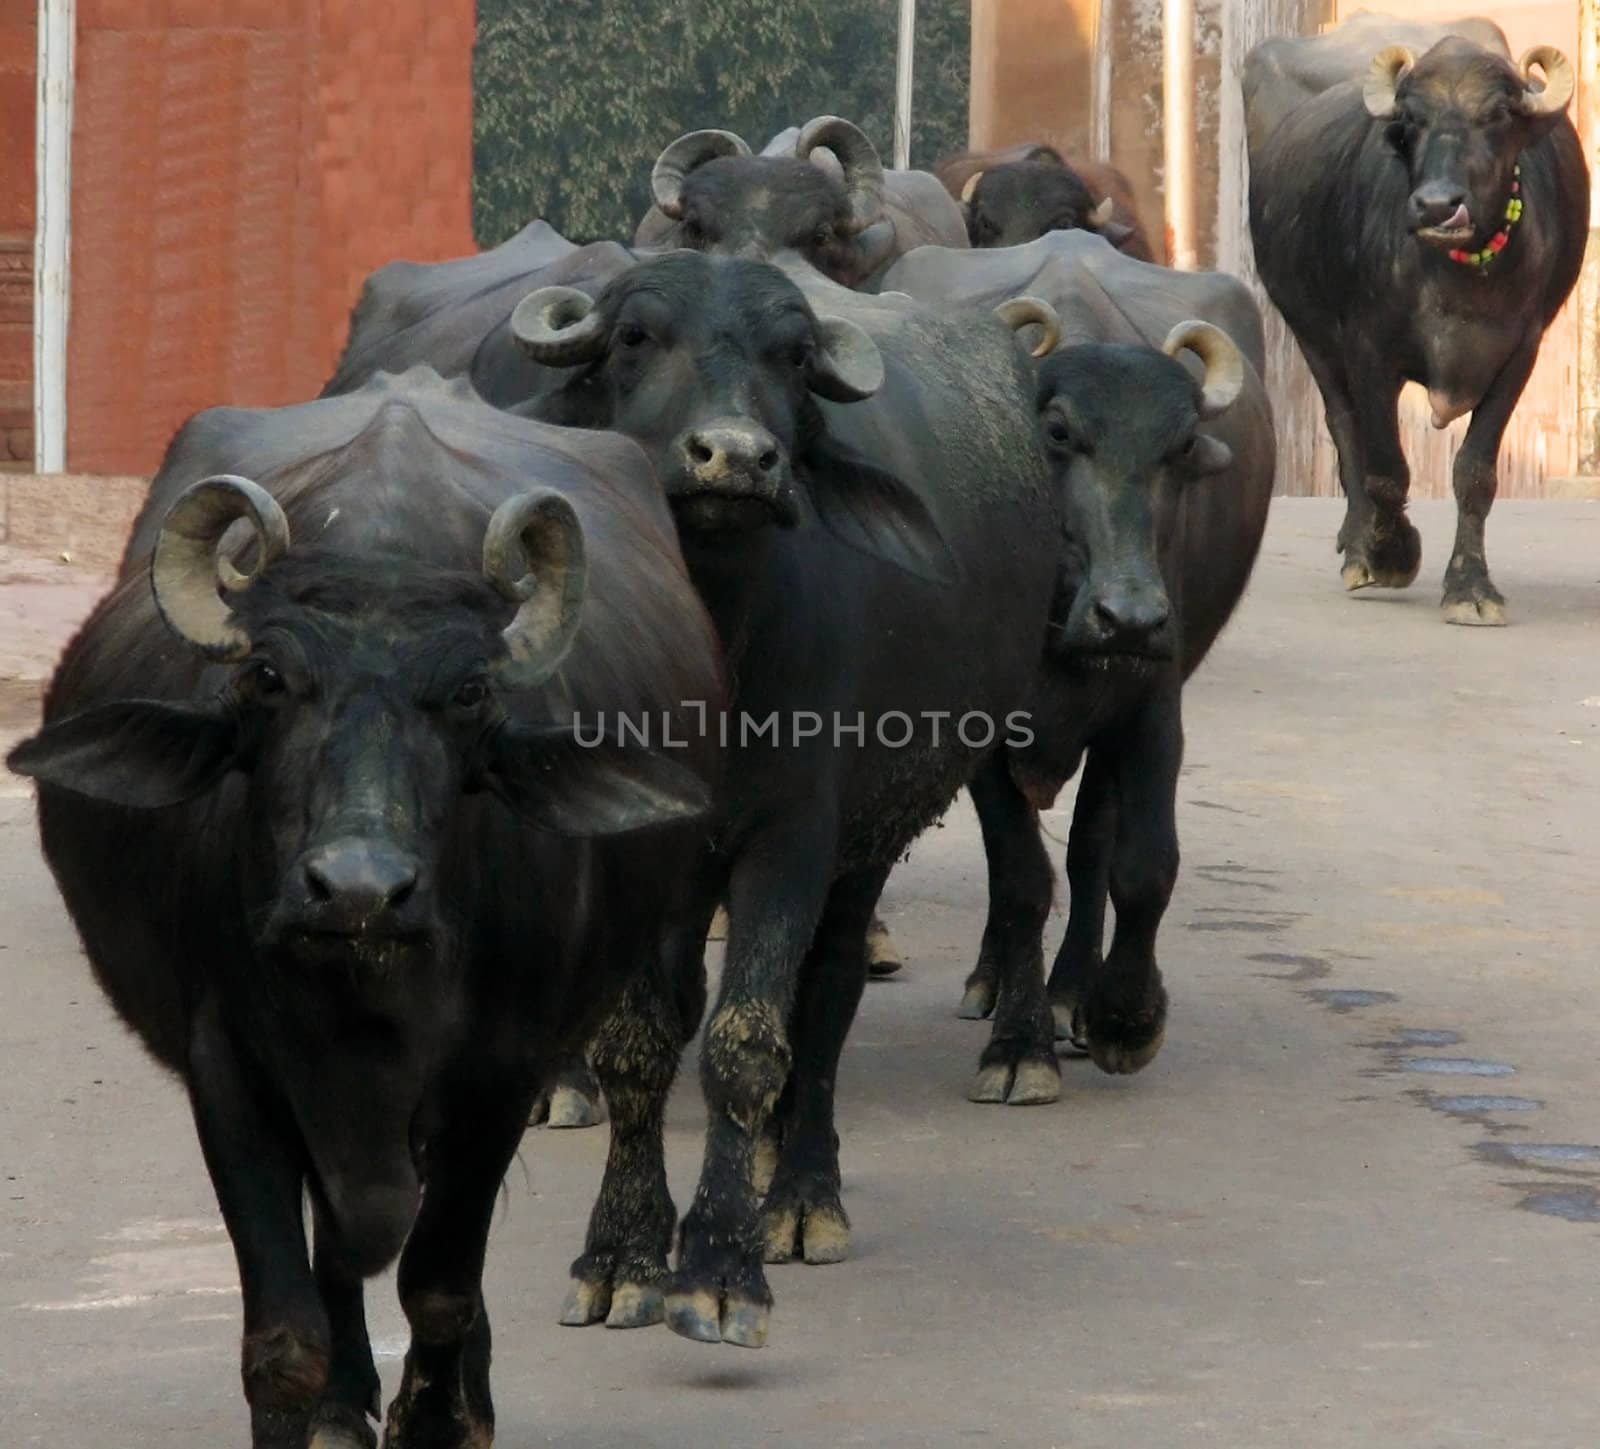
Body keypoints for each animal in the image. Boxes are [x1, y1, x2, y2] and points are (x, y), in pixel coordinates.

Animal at [9, 372, 723, 1445]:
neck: (366, 1001)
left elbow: (439, 1285)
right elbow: (286, 1332)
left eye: (467, 693)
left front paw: (441, 1413)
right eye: (267, 679)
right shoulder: (233, 1075)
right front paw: (330, 1397)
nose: (356, 888)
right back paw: (350, 1400)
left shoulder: (500, 1074)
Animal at [512, 251, 1062, 1343]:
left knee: (829, 990)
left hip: (869, 839)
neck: (719, 650)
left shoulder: (794, 838)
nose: (735, 459)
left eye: (794, 357)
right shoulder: (633, 845)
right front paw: (621, 1254)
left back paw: (803, 1195)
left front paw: (721, 1267)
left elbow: (748, 1039)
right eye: (634, 336)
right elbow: (639, 1044)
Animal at [889, 228, 1273, 1074]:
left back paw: (1071, 987)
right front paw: (1019, 1043)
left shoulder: (1152, 703)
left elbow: (1141, 863)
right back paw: (994, 981)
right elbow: (1019, 876)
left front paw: (1124, 1013)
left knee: (1092, 841)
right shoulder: (982, 724)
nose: (1128, 617)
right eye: (1058, 433)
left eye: (1182, 445)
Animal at [1241, 12, 1580, 620]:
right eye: (1412, 119)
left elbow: (1474, 472)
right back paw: (1358, 545)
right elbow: (1385, 468)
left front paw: (1470, 586)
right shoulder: (1368, 348)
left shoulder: (1520, 352)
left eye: (1497, 114)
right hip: (1308, 330)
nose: (1437, 206)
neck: (1460, 279)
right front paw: (1391, 551)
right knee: (1344, 427)